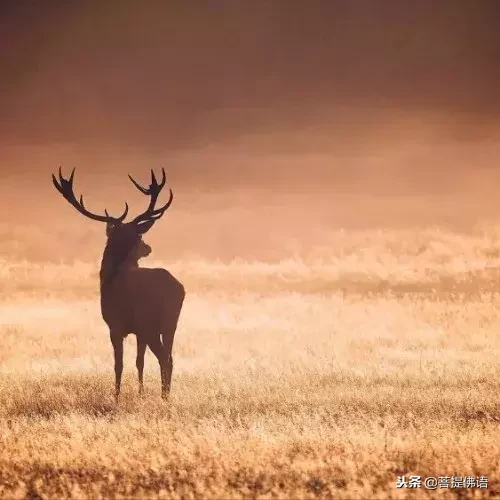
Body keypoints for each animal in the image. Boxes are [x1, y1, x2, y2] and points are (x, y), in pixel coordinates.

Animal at [51, 168, 185, 402]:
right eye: (139, 236)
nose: (148, 247)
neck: (110, 279)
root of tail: (177, 289)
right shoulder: (138, 332)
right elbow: (139, 362)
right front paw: (140, 393)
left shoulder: (115, 325)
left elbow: (118, 365)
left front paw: (116, 396)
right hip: (171, 324)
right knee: (170, 357)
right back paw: (166, 395)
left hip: (150, 323)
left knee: (164, 359)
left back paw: (164, 397)